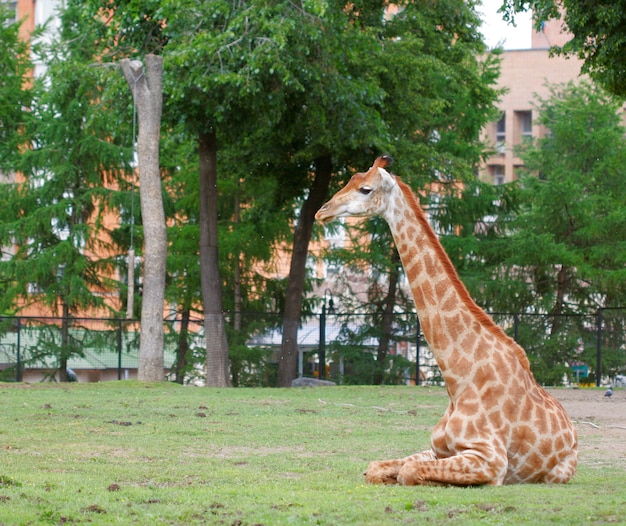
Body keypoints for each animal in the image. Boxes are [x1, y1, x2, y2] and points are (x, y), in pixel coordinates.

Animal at [314, 156, 576, 486]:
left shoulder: (491, 461)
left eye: (365, 189)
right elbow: (376, 469)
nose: (322, 211)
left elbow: (409, 474)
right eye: (349, 180)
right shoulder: (437, 449)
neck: (457, 379)